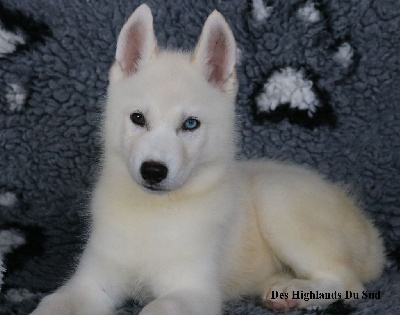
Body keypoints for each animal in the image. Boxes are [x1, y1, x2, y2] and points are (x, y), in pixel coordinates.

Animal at [31, 4, 384, 315]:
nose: (153, 171)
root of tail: (370, 233)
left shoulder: (193, 290)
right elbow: (51, 306)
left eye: (190, 124)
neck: (153, 213)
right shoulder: (90, 283)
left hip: (278, 201)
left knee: (349, 282)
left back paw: (293, 292)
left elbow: (156, 308)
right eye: (137, 118)